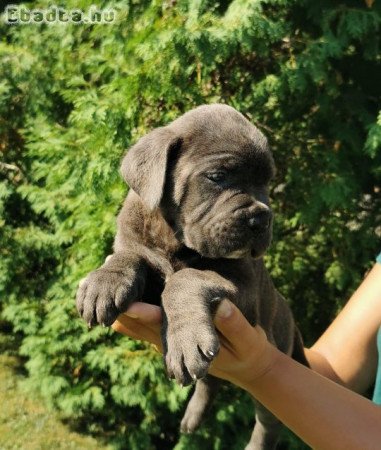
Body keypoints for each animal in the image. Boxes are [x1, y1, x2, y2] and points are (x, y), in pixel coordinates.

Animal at [75, 104, 308, 450]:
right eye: (218, 177)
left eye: (267, 183)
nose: (262, 218)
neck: (175, 239)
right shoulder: (139, 248)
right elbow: (130, 255)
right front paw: (106, 280)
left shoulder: (244, 289)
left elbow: (185, 279)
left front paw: (183, 338)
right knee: (210, 382)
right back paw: (192, 417)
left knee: (268, 421)